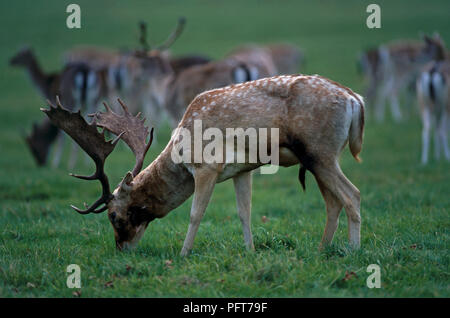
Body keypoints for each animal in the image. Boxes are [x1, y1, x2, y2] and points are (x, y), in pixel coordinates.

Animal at [43, 70, 366, 256]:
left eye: (113, 215)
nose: (121, 248)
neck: (180, 149)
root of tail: (356, 100)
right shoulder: (243, 169)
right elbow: (244, 212)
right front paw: (250, 252)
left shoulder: (206, 167)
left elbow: (196, 214)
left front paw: (184, 254)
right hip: (318, 158)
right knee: (333, 201)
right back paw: (322, 250)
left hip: (320, 151)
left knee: (352, 194)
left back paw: (352, 251)